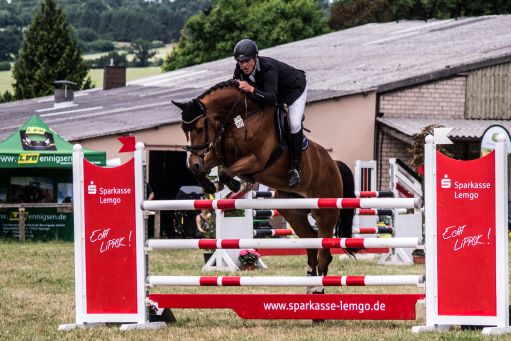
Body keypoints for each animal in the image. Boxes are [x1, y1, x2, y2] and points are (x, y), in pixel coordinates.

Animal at [172, 79, 356, 290]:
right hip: (294, 212)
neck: (242, 117)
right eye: (183, 129)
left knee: (324, 253)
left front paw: (235, 185)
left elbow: (227, 171)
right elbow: (213, 166)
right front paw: (211, 185)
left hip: (325, 212)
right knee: (311, 243)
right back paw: (310, 285)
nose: (193, 163)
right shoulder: (221, 153)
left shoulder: (257, 160)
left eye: (200, 128)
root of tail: (334, 165)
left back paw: (318, 288)